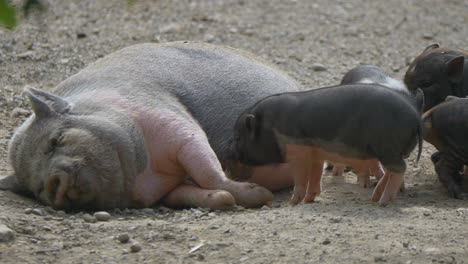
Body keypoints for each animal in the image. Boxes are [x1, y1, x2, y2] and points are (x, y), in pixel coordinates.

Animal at [0, 41, 300, 210]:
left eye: (55, 140)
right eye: (36, 189)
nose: (52, 181)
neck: (151, 171)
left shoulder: (172, 121)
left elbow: (208, 170)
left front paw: (260, 195)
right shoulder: (169, 190)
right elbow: (194, 192)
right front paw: (227, 199)